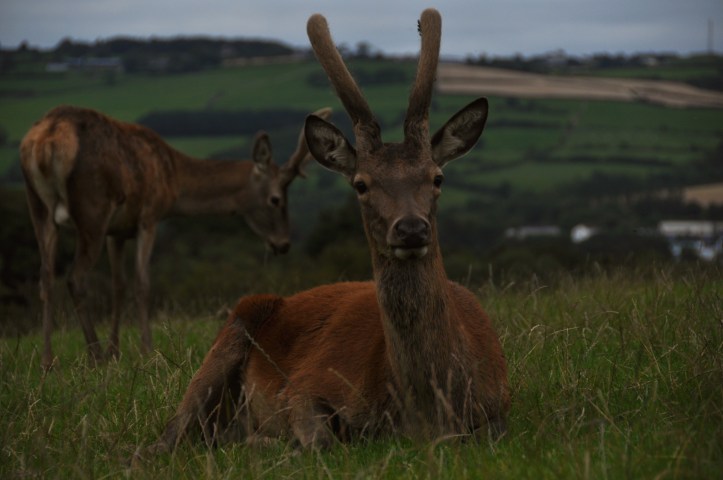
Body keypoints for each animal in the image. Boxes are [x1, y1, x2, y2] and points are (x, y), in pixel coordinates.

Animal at [20, 104, 332, 371]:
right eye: (275, 199)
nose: (283, 243)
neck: (172, 179)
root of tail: (45, 142)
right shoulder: (149, 215)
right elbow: (142, 283)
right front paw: (146, 351)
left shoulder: (117, 230)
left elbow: (119, 285)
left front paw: (115, 352)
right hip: (92, 208)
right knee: (75, 277)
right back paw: (93, 354)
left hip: (38, 207)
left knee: (45, 275)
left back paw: (48, 361)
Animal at [143, 8, 509, 455]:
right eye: (361, 184)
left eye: (437, 177)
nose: (410, 228)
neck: (428, 412)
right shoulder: (304, 386)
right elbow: (321, 440)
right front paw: (273, 442)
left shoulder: (500, 405)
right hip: (231, 330)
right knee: (171, 435)